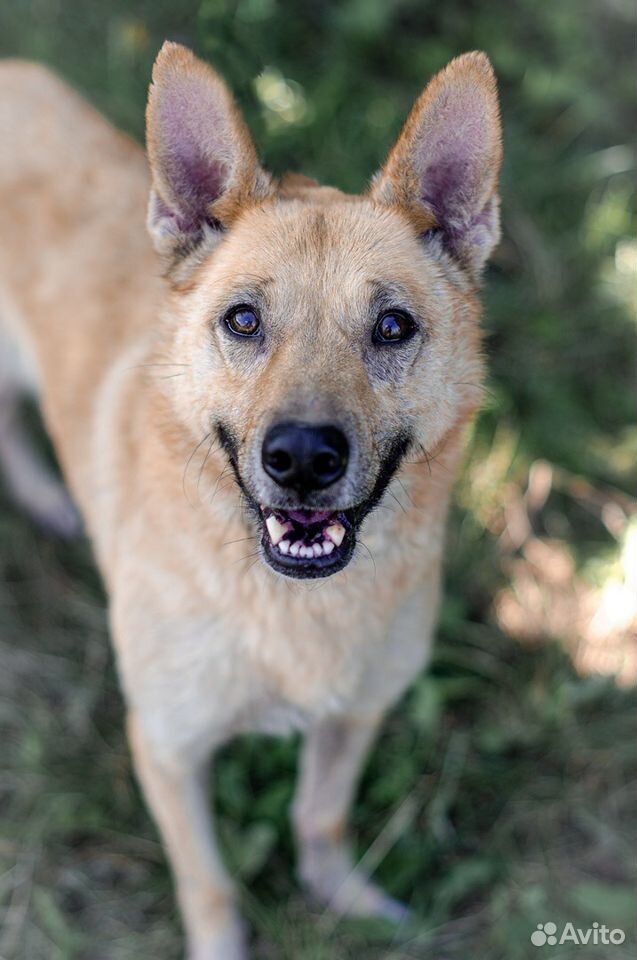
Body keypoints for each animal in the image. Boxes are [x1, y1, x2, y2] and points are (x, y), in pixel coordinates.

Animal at [0, 43, 502, 960]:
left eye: (392, 327)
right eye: (242, 320)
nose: (301, 457)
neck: (286, 607)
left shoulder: (355, 714)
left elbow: (321, 818)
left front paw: (341, 896)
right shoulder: (166, 746)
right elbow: (207, 883)